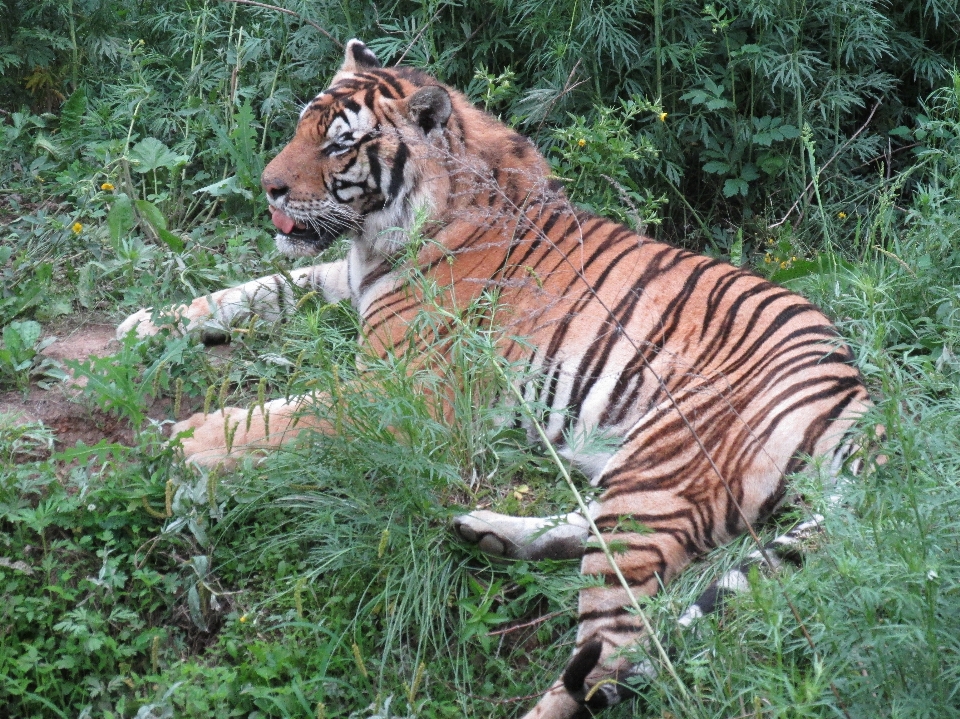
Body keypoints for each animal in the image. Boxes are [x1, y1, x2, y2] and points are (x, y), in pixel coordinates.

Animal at [116, 40, 872, 719]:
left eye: (337, 146)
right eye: (301, 127)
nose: (267, 186)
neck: (382, 233)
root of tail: (856, 393)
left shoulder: (404, 391)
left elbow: (289, 413)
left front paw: (188, 441)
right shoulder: (340, 279)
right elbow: (263, 288)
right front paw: (143, 324)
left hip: (663, 464)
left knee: (614, 652)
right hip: (636, 471)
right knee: (588, 533)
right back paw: (484, 533)